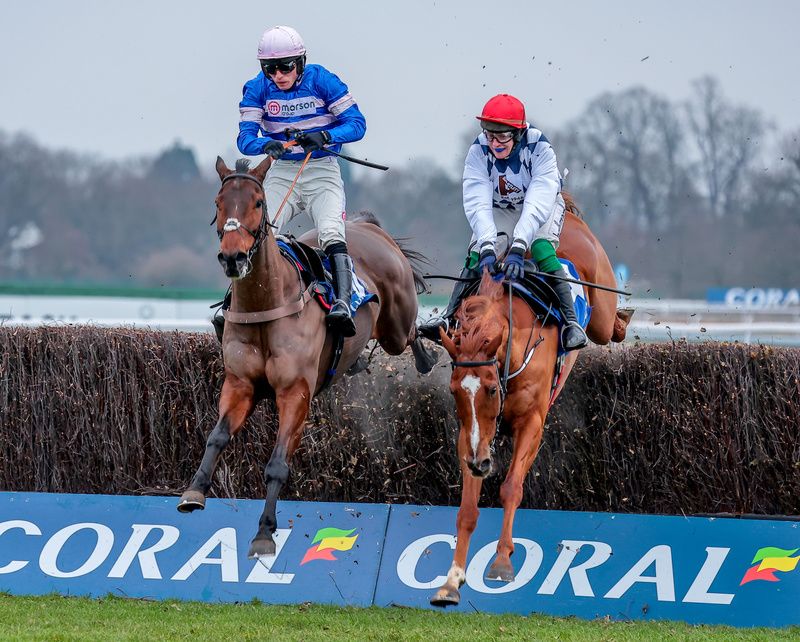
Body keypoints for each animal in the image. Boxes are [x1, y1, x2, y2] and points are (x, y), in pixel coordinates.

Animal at [177, 155, 434, 556]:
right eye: (218, 203)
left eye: (258, 203)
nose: (233, 257)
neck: (267, 304)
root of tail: (367, 226)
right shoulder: (240, 384)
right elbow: (217, 437)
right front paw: (195, 491)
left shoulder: (294, 392)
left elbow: (277, 464)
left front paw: (264, 532)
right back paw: (359, 361)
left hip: (395, 323)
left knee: (410, 333)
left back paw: (427, 356)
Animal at [428, 205, 628, 604]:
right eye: (455, 391)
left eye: (491, 390)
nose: (480, 463)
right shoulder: (469, 434)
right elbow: (467, 508)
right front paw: (451, 579)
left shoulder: (532, 423)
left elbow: (510, 488)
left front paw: (502, 562)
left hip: (597, 308)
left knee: (608, 322)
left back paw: (622, 321)